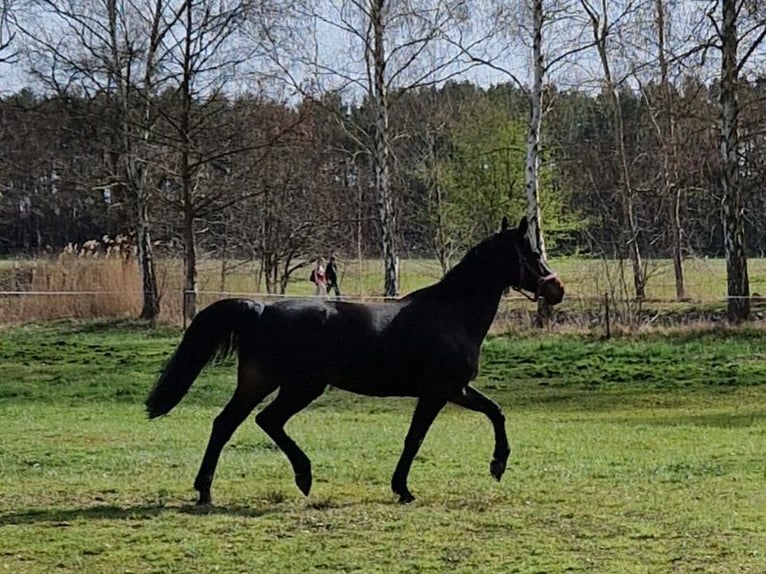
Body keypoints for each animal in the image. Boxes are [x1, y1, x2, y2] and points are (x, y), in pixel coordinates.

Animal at [146, 218, 564, 506]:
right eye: (532, 254)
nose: (556, 289)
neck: (453, 314)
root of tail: (261, 310)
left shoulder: (456, 389)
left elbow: (496, 412)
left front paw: (498, 465)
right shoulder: (436, 393)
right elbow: (414, 438)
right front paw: (403, 488)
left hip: (262, 383)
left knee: (228, 424)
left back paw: (208, 490)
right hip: (298, 386)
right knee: (264, 421)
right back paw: (302, 477)